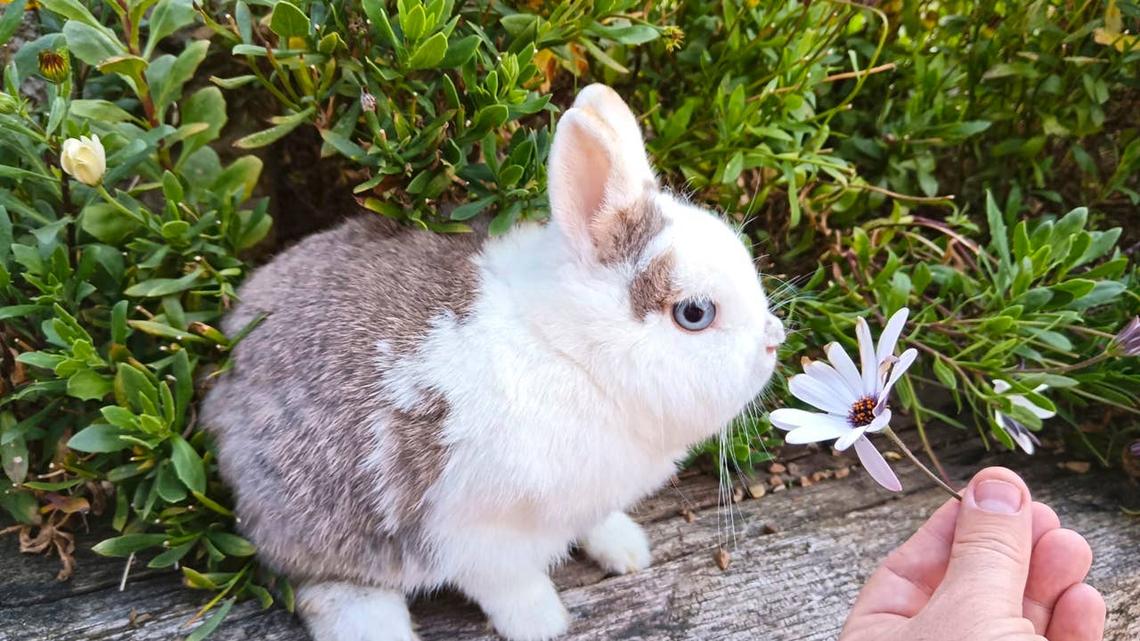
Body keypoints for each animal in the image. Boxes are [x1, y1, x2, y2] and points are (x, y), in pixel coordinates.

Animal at [200, 83, 786, 641]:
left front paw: (627, 550)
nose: (774, 340)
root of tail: (223, 391)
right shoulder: (477, 532)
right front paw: (543, 623)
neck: (572, 352)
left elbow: (597, 524)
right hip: (317, 519)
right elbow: (508, 584)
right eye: (695, 313)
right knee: (324, 584)